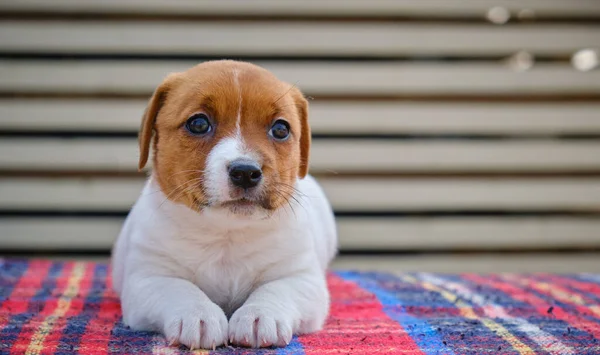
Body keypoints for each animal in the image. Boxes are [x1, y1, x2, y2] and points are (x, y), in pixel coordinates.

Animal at [111, 59, 338, 350]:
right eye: (198, 124)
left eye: (280, 129)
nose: (245, 172)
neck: (226, 234)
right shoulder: (148, 279)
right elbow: (178, 289)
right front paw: (197, 315)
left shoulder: (302, 277)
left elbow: (276, 289)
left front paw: (260, 315)